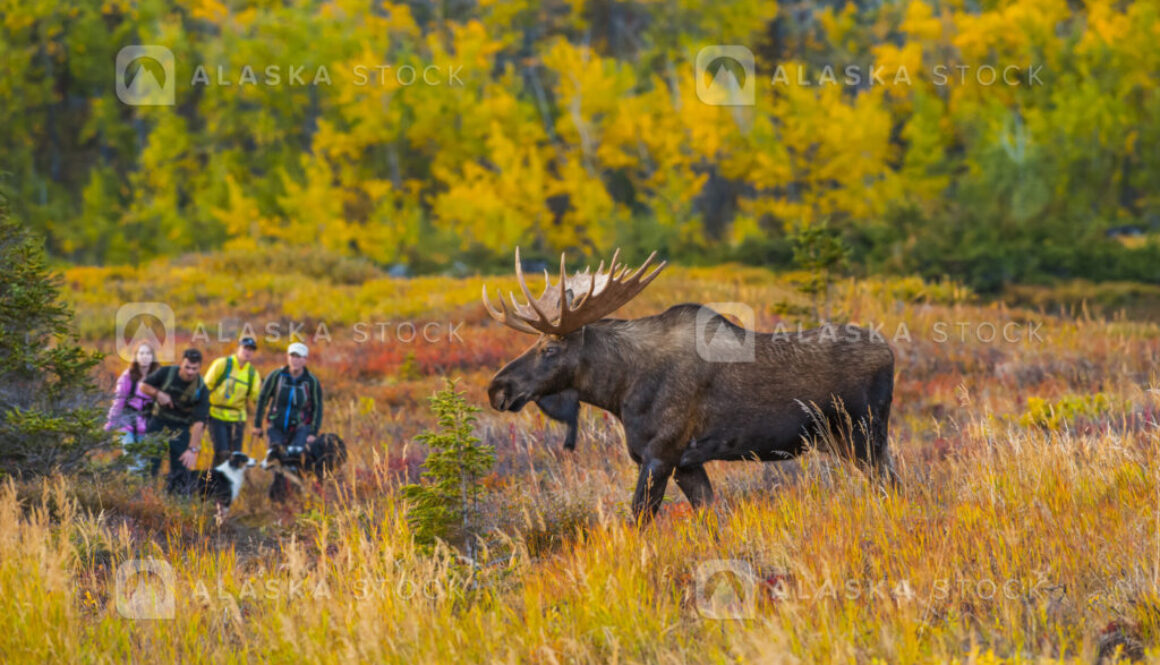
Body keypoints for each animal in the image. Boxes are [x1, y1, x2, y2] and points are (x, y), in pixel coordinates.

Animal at [480, 247, 895, 517]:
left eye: (550, 348)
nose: (498, 388)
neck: (619, 389)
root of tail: (891, 353)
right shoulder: (687, 463)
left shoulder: (660, 454)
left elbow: (638, 520)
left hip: (864, 435)